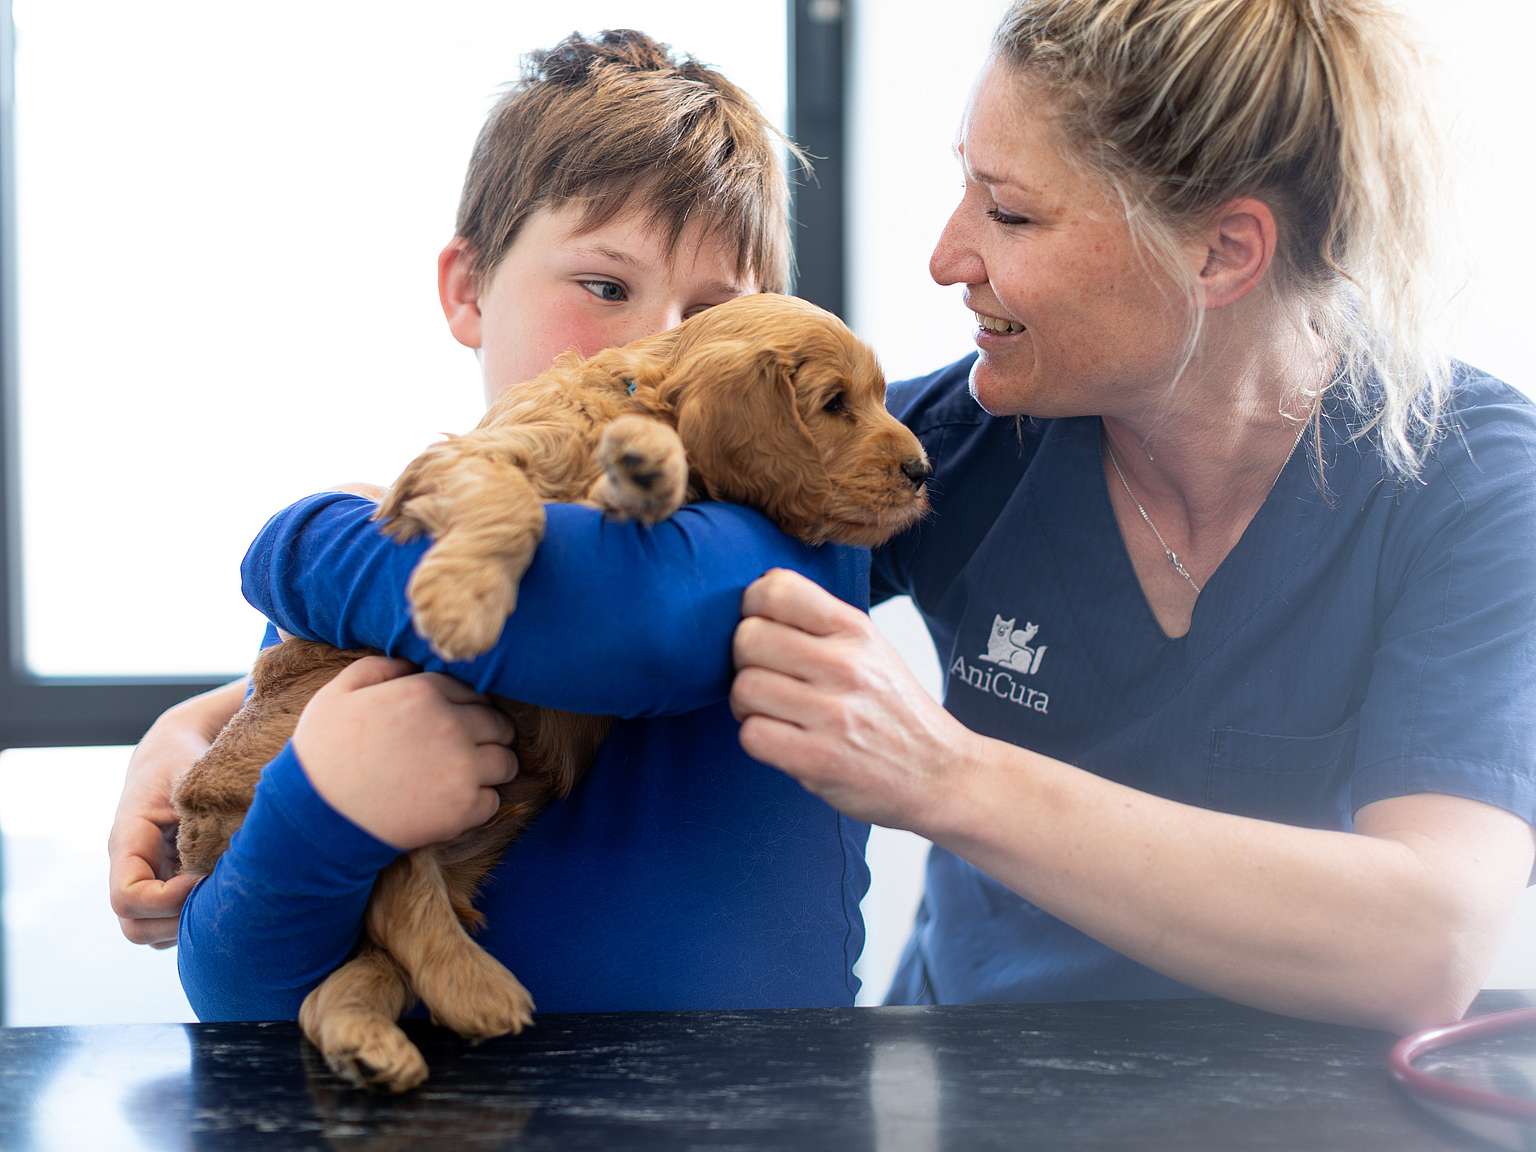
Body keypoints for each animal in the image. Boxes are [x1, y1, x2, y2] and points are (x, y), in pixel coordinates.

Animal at [174, 293, 927, 1093]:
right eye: (835, 403)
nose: (922, 470)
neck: (632, 399)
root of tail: (195, 814)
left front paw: (644, 468)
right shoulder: (472, 458)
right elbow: (518, 502)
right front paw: (461, 602)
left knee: (352, 964)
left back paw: (378, 1039)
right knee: (391, 873)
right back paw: (478, 991)